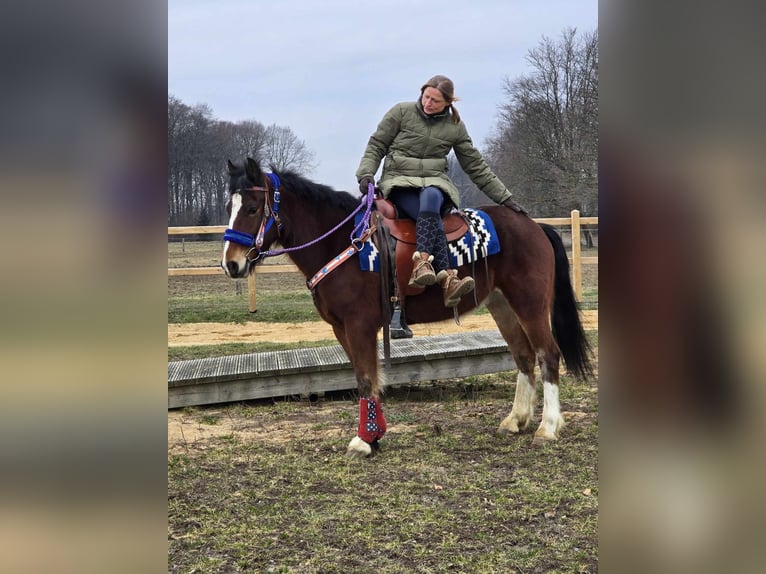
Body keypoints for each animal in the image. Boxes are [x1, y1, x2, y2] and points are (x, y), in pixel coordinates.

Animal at [222, 159, 592, 460]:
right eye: (230, 205)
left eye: (252, 208)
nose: (231, 264)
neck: (344, 242)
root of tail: (535, 226)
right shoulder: (341, 328)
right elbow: (366, 378)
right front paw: (374, 436)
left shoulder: (358, 325)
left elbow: (366, 378)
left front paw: (363, 440)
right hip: (502, 306)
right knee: (524, 357)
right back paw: (516, 420)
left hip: (529, 305)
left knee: (547, 354)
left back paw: (547, 427)